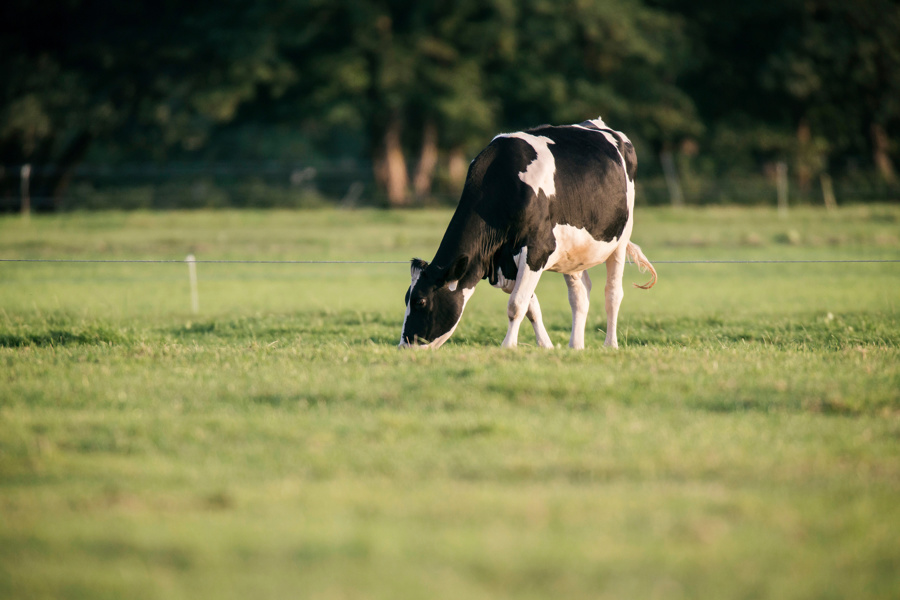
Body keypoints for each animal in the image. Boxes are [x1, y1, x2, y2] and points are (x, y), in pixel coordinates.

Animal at [400, 116, 652, 350]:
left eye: (420, 301)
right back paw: (575, 346)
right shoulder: (507, 262)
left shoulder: (537, 249)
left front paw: (508, 346)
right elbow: (531, 307)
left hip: (620, 239)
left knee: (613, 293)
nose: (404, 346)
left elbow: (516, 305)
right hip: (572, 253)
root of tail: (598, 123)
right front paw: (546, 346)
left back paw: (610, 344)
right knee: (579, 295)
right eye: (406, 298)